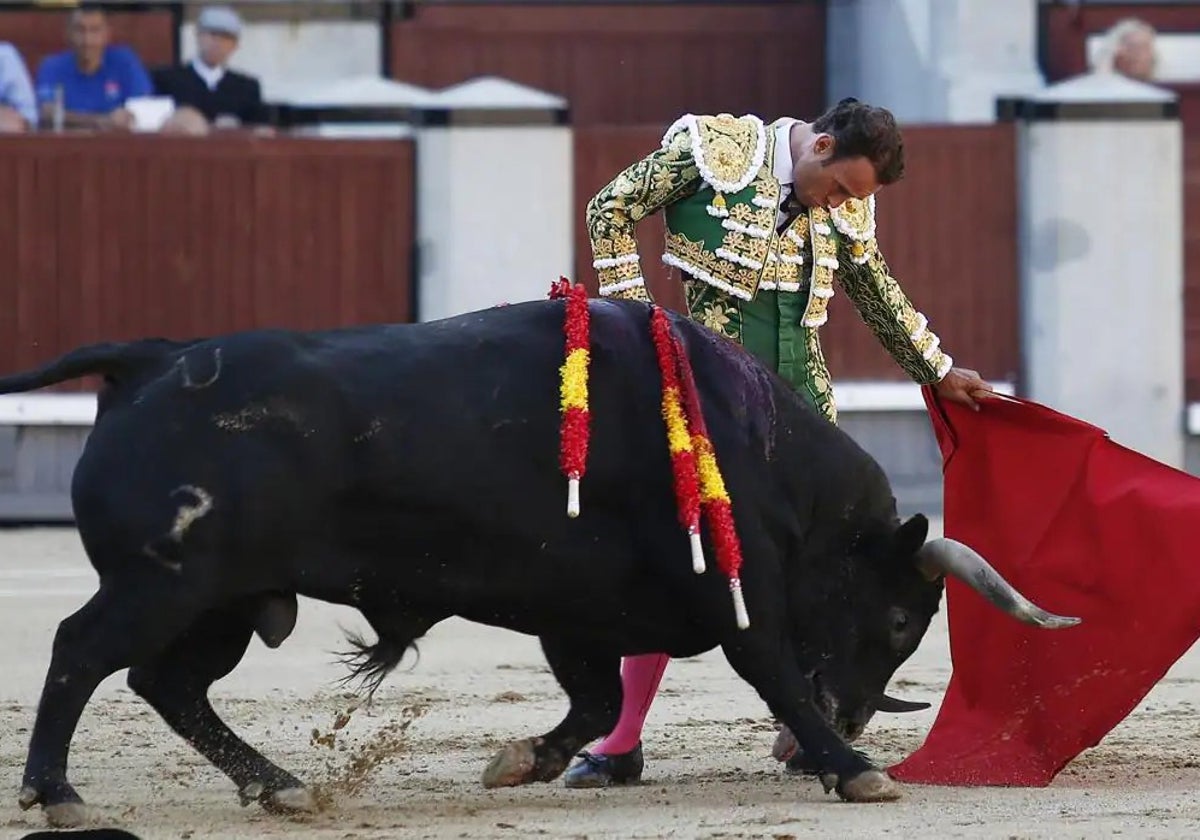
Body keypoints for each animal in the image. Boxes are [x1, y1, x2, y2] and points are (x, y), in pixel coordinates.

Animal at [7, 295, 1080, 825]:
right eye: (900, 619)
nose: (854, 716)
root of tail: (151, 360)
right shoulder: (736, 601)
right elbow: (771, 672)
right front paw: (855, 769)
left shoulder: (581, 612)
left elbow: (597, 701)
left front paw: (526, 759)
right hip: (162, 583)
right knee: (80, 653)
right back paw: (59, 796)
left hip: (222, 602)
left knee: (167, 683)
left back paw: (280, 787)